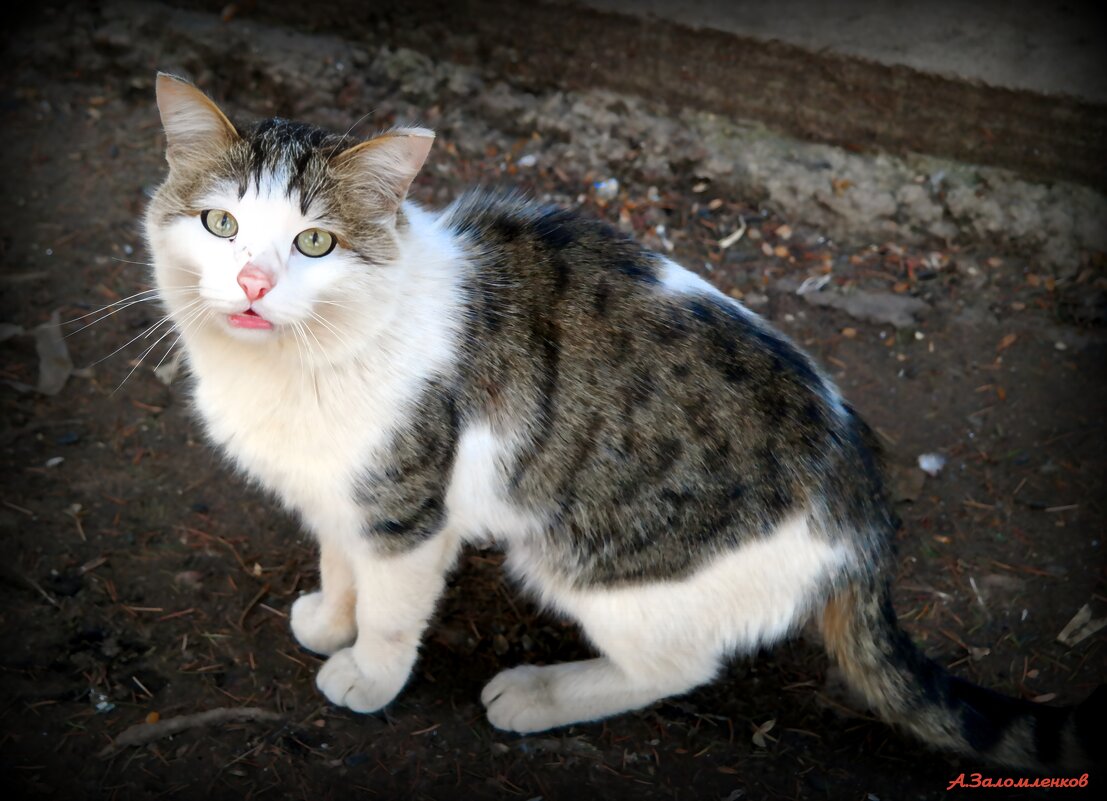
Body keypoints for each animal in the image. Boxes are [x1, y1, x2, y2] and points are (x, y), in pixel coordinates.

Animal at [145, 75, 1098, 770]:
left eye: (315, 243)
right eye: (221, 224)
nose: (255, 282)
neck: (291, 366)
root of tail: (863, 505)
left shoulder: (411, 511)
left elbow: (389, 610)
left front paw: (368, 676)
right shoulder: (344, 494)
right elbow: (340, 566)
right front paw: (327, 620)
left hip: (589, 559)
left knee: (677, 666)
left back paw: (537, 693)